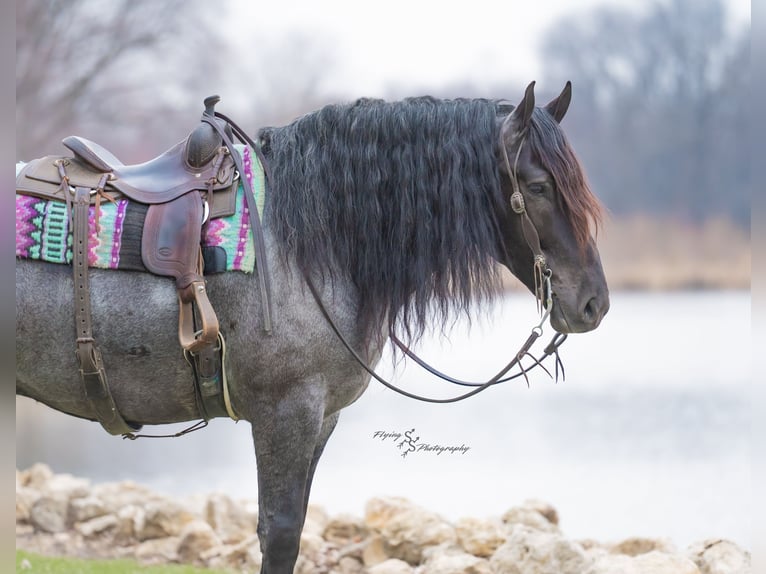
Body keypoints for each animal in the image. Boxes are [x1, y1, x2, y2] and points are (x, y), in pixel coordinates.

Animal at [16, 81, 609, 573]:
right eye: (538, 186)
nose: (594, 304)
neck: (303, 240)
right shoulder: (286, 413)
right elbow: (279, 535)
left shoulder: (321, 418)